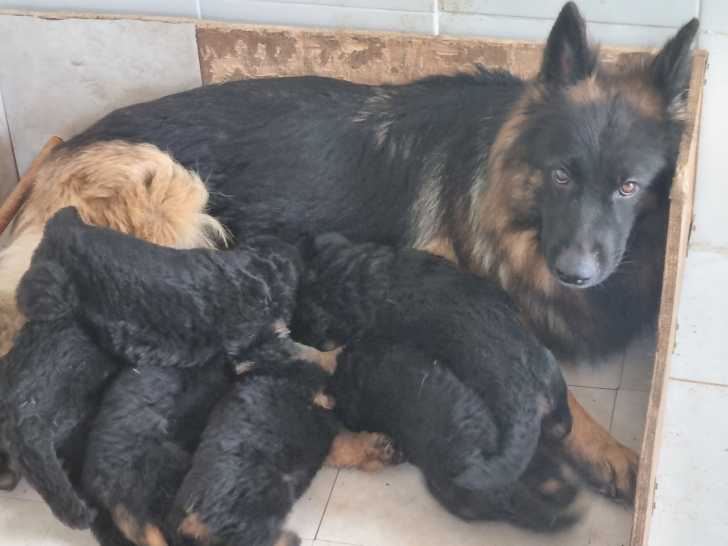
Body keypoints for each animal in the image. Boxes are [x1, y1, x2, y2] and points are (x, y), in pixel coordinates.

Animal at [0, 2, 699, 500]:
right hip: (172, 195)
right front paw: (606, 448)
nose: (576, 273)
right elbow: (540, 366)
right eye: (560, 177)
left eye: (629, 187)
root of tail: (56, 159)